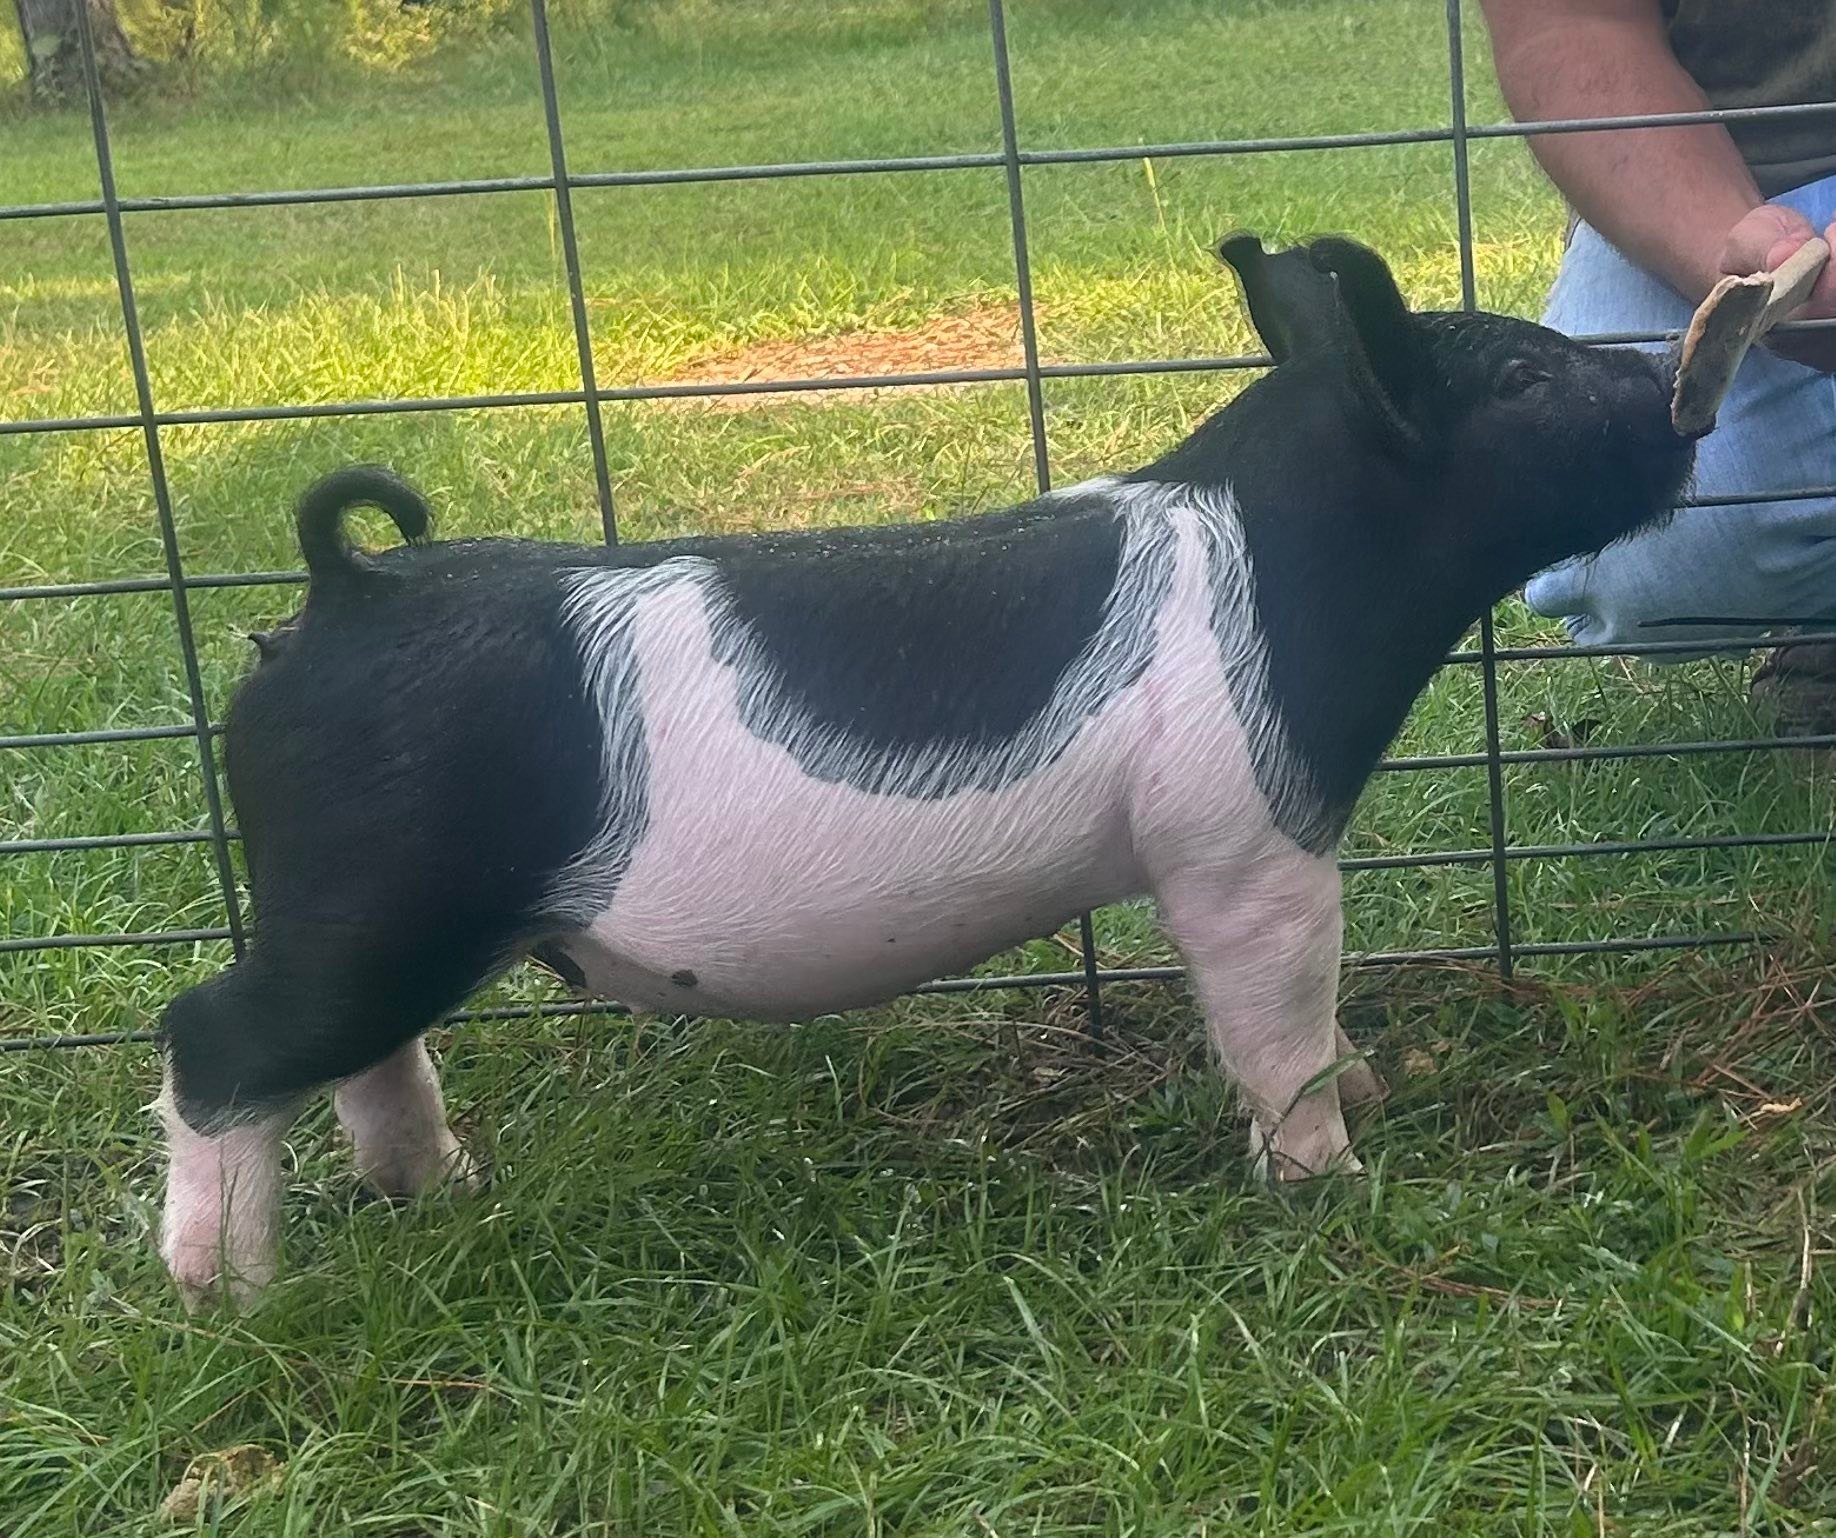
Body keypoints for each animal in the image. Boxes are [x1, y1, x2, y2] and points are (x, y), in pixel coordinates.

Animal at [154, 234, 1698, 1307]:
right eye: (1525, 380)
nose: (1678, 385)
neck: (1294, 561)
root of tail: (341, 594)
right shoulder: (1239, 846)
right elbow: (1277, 1018)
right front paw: (1337, 1180)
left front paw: (1367, 1095)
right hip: (373, 888)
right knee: (213, 1036)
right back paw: (234, 1294)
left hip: (390, 915)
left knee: (363, 1054)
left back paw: (442, 1189)